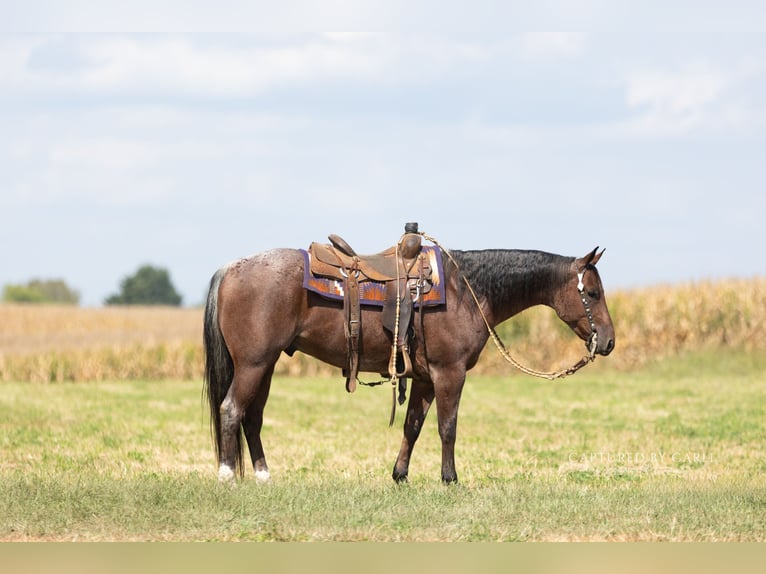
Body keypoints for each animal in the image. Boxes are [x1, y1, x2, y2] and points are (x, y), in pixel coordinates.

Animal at [203, 240, 615, 484]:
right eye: (593, 293)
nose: (609, 341)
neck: (465, 291)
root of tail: (231, 267)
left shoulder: (424, 378)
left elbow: (413, 426)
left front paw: (400, 475)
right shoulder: (450, 374)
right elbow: (447, 428)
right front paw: (450, 479)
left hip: (265, 366)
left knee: (252, 418)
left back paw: (263, 476)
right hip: (254, 365)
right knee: (231, 410)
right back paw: (226, 476)